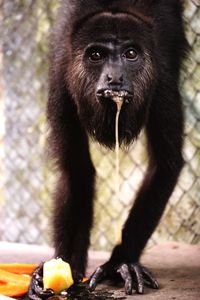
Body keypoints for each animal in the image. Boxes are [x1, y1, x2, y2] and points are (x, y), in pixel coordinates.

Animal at [28, 0, 188, 296]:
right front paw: (60, 266)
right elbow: (76, 171)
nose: (115, 77)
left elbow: (165, 164)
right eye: (96, 55)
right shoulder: (61, 84)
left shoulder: (162, 83)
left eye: (130, 53)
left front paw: (119, 264)